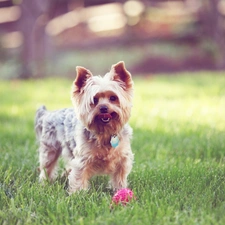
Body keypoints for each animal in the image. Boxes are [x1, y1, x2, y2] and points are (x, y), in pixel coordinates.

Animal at [35, 61, 134, 193]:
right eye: (94, 100)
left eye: (113, 98)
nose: (103, 108)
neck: (105, 132)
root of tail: (48, 114)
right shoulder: (82, 159)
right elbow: (78, 177)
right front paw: (78, 194)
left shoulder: (122, 159)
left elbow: (119, 177)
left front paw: (120, 190)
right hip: (50, 148)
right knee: (47, 167)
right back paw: (45, 183)